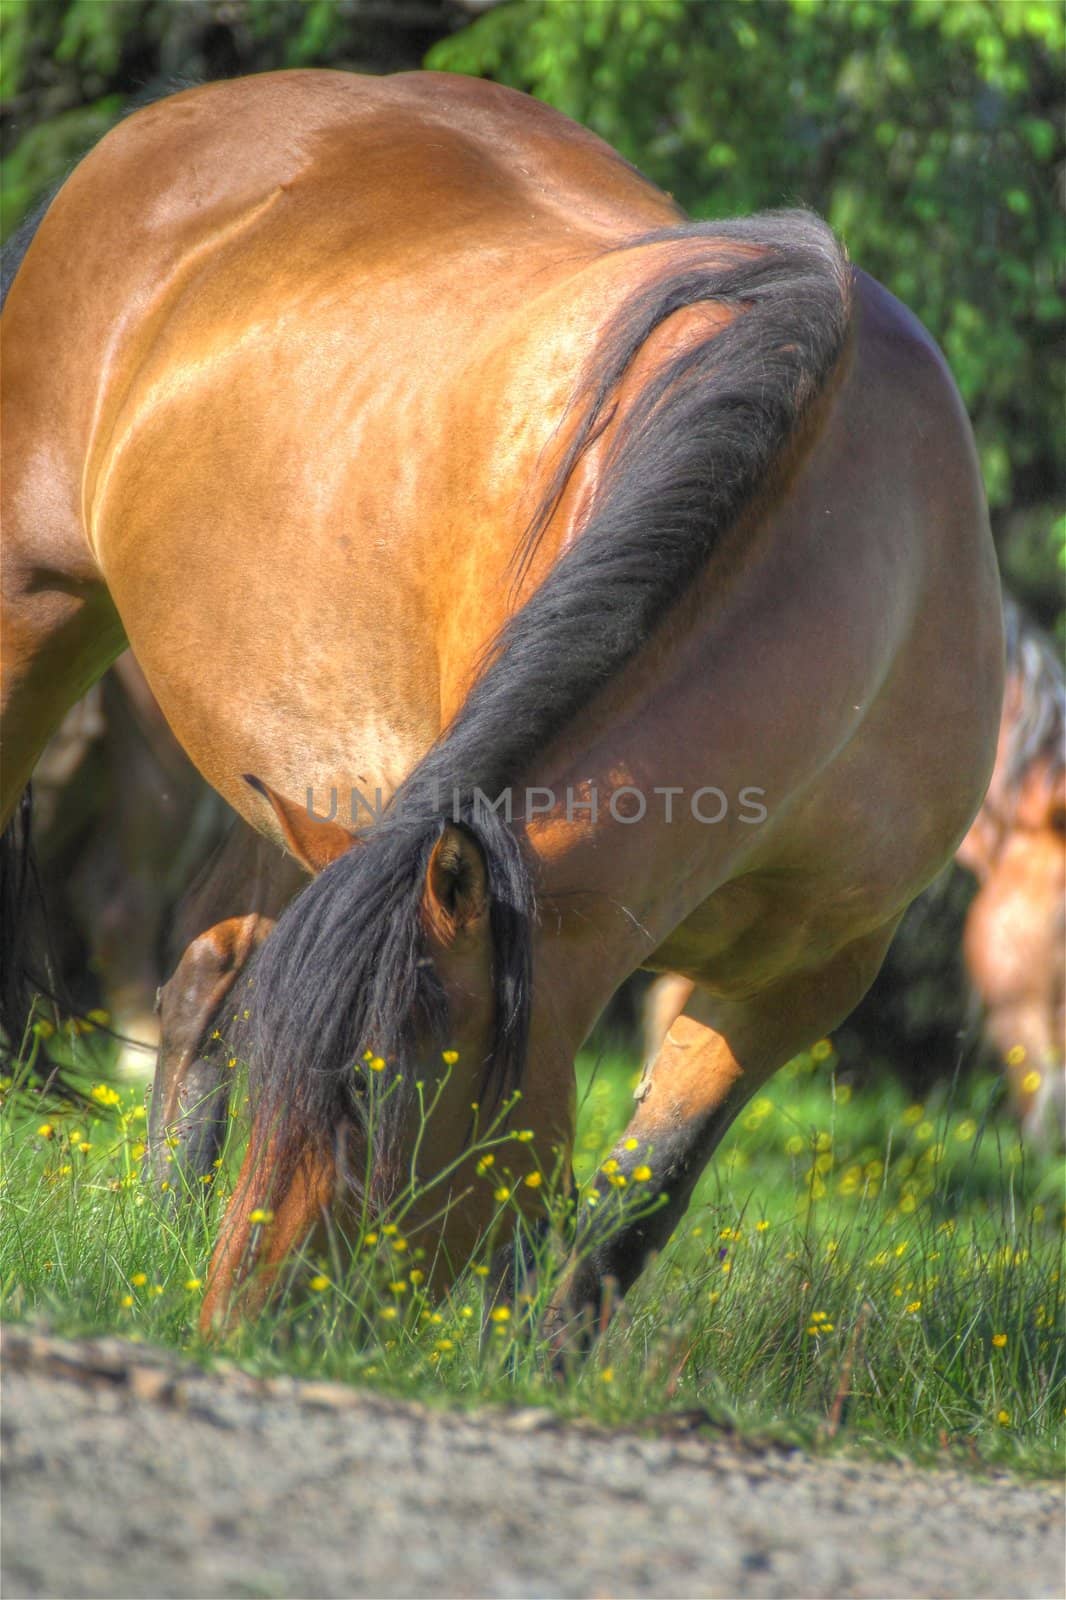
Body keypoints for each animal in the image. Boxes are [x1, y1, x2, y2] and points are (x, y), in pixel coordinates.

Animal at [0, 72, 998, 1324]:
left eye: (388, 1089)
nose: (244, 1323)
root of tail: (153, 132)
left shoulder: (805, 981)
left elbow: (635, 1203)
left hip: (299, 789)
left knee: (207, 976)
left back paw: (166, 1226)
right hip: (41, 607)